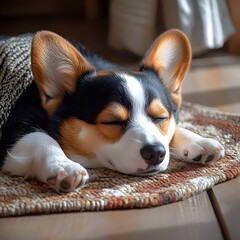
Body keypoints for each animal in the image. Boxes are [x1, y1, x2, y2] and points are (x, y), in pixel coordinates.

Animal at [0, 30, 225, 192]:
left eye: (160, 117)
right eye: (112, 122)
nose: (155, 153)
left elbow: (176, 128)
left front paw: (200, 142)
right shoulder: (16, 126)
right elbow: (42, 138)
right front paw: (63, 166)